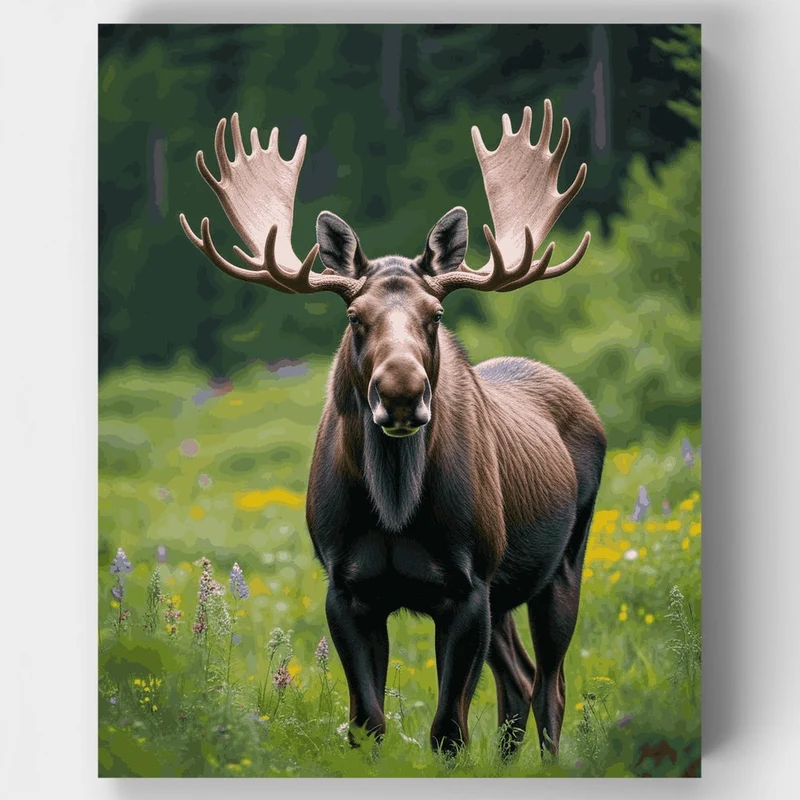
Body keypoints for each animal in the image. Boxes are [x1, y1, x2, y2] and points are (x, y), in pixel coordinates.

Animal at [180, 100, 606, 759]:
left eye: (436, 315)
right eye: (355, 316)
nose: (402, 392)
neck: (395, 506)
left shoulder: (468, 587)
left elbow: (448, 731)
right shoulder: (346, 587)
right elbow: (367, 723)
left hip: (561, 563)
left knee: (551, 688)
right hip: (507, 590)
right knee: (520, 680)